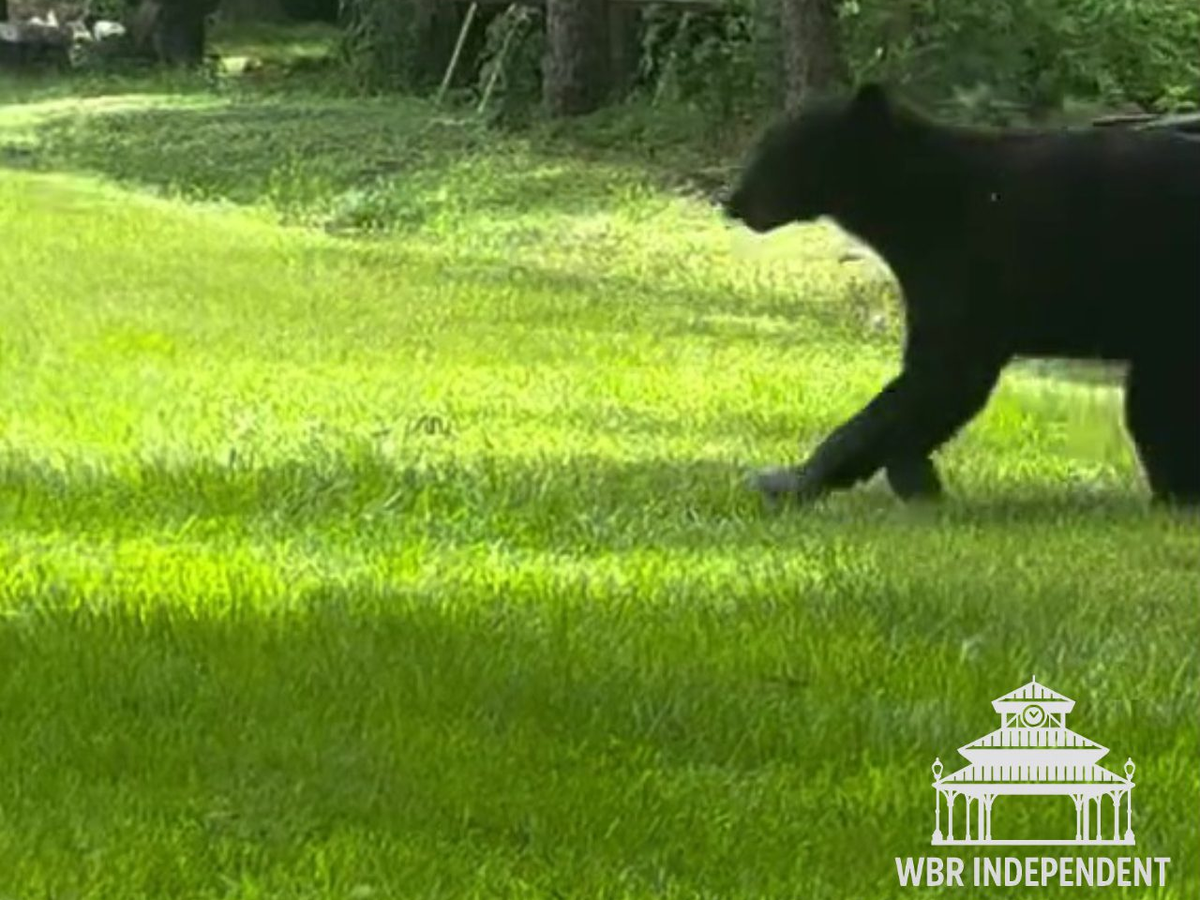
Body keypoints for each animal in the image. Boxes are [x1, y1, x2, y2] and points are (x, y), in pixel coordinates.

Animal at [723, 83, 1200, 506]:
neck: (914, 201)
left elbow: (938, 378)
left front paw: (788, 480)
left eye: (774, 150)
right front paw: (914, 476)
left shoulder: (966, 271)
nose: (731, 201)